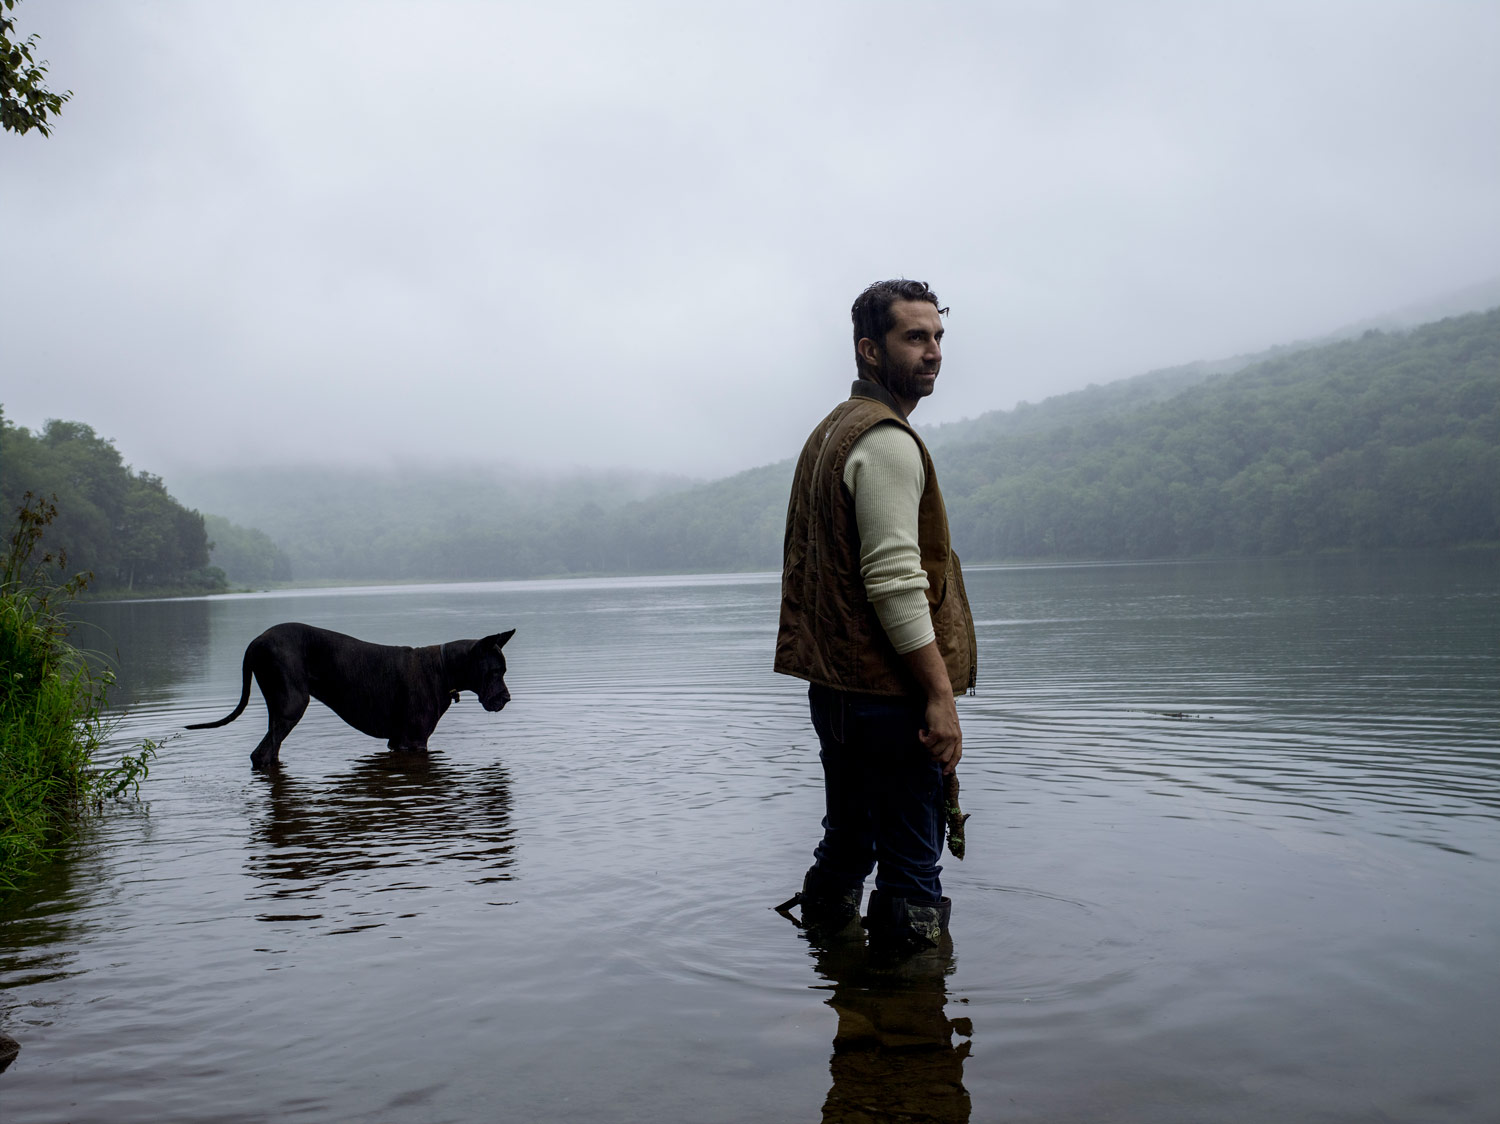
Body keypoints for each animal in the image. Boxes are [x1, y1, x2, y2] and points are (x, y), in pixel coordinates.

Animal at [185, 621, 516, 774]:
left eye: (503, 670)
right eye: (495, 671)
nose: (507, 698)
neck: (444, 668)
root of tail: (255, 642)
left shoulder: (398, 742)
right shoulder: (414, 740)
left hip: (279, 710)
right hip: (292, 704)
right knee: (261, 754)